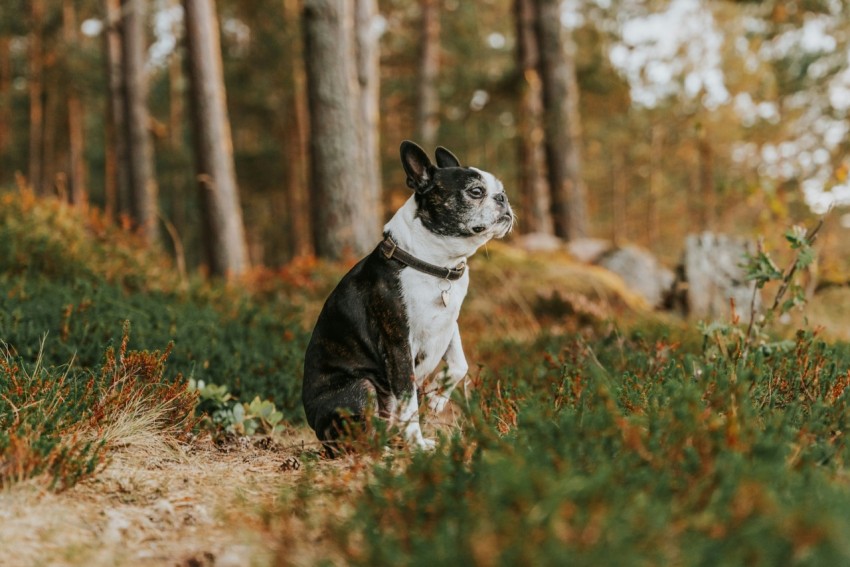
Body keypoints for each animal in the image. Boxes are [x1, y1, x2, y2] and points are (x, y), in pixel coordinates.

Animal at [302, 142, 512, 452]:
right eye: (476, 191)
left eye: (501, 189)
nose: (503, 198)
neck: (435, 264)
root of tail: (315, 429)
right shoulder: (399, 342)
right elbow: (409, 398)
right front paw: (419, 443)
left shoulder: (449, 323)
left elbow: (460, 364)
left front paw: (437, 397)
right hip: (362, 387)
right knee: (359, 438)